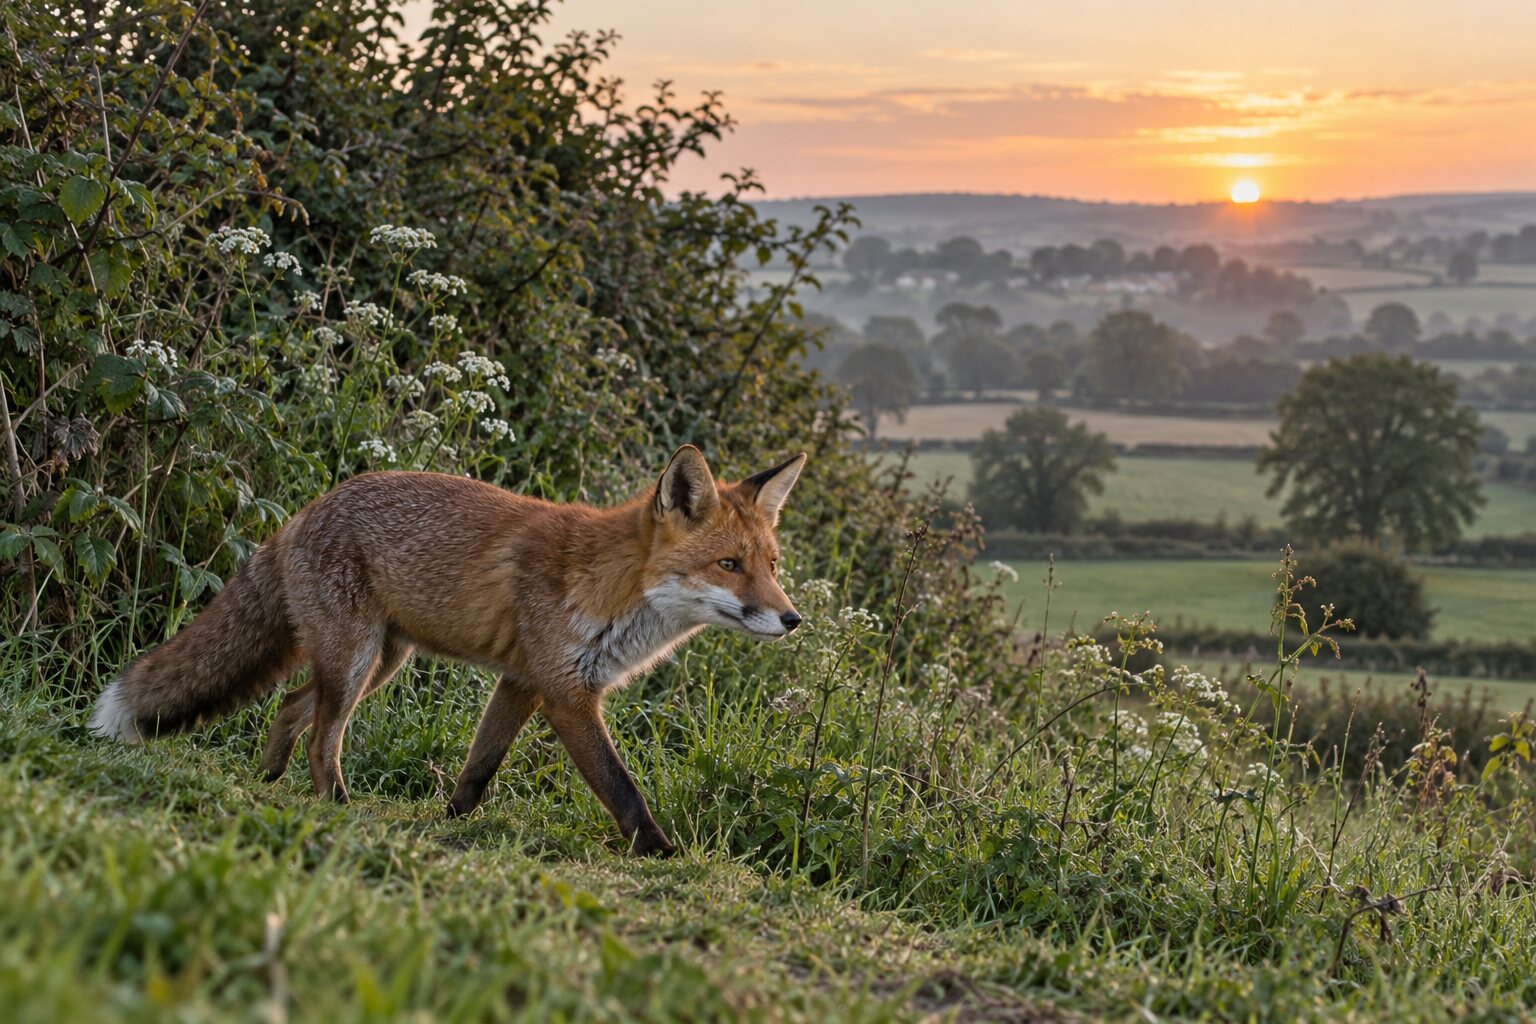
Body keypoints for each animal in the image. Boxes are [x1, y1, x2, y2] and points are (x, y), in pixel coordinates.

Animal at [89, 445, 806, 856]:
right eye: (729, 565)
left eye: (772, 565)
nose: (792, 619)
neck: (612, 588)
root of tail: (302, 514)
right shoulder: (566, 696)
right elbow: (623, 790)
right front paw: (662, 854)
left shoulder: (522, 682)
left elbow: (478, 769)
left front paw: (450, 820)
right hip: (356, 661)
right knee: (322, 736)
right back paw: (335, 805)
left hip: (379, 663)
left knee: (292, 707)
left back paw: (267, 781)